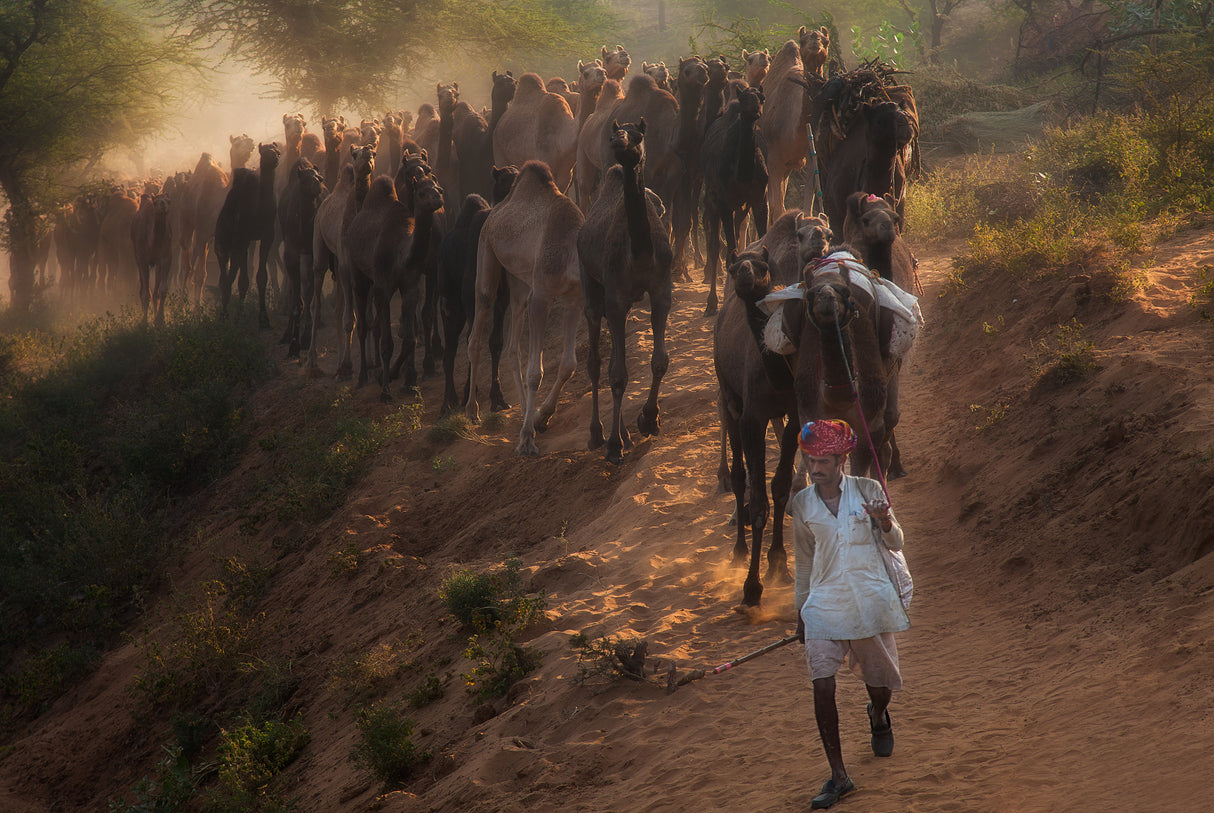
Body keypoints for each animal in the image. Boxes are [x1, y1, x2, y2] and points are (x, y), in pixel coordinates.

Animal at [131, 192, 173, 325]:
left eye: (169, 201)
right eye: (156, 202)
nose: (163, 204)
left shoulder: (166, 258)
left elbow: (163, 289)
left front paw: (160, 319)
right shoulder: (142, 259)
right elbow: (145, 293)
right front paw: (144, 322)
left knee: (155, 292)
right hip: (137, 258)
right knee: (143, 288)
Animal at [438, 164, 518, 415]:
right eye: (503, 178)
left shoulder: (503, 297)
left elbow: (496, 342)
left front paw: (498, 399)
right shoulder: (470, 297)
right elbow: (472, 340)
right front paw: (467, 397)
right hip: (449, 299)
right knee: (450, 348)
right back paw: (448, 403)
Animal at [465, 160, 585, 456]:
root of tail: (497, 209)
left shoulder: (574, 298)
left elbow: (568, 364)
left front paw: (540, 418)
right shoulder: (542, 295)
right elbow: (535, 373)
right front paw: (527, 439)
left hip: (518, 283)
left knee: (512, 346)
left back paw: (522, 413)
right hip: (487, 250)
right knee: (477, 329)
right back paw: (472, 411)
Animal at [578, 120, 674, 464]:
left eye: (639, 135)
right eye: (616, 133)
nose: (618, 140)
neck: (640, 253)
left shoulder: (661, 290)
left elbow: (659, 361)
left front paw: (649, 420)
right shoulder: (616, 296)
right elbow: (617, 375)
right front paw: (614, 445)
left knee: (610, 362)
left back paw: (624, 434)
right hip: (591, 285)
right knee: (596, 362)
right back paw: (597, 435)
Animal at [701, 84, 768, 316]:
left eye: (761, 98)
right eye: (744, 98)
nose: (755, 110)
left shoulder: (758, 197)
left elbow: (762, 237)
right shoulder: (723, 202)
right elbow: (729, 247)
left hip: (741, 207)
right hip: (712, 202)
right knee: (714, 246)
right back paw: (711, 303)